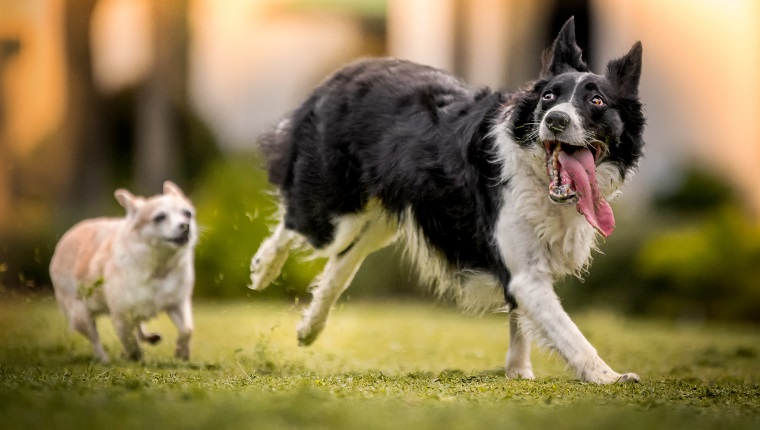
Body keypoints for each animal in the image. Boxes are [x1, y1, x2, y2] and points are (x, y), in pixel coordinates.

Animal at [49, 180, 197, 362]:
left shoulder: (177, 303)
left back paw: (148, 337)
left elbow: (187, 329)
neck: (158, 266)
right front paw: (134, 356)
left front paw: (182, 352)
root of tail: (68, 235)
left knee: (139, 325)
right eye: (159, 217)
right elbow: (128, 340)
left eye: (187, 214)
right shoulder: (121, 315)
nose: (185, 225)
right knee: (95, 339)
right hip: (80, 313)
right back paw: (104, 359)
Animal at [252, 18, 644, 384]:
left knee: (342, 262)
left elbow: (521, 321)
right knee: (297, 224)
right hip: (338, 210)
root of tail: (345, 71)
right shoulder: (525, 274)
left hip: (380, 219)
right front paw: (609, 376)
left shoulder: (523, 269)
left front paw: (518, 370)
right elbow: (568, 332)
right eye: (549, 96)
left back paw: (309, 329)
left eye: (597, 101)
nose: (556, 120)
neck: (538, 177)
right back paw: (263, 269)